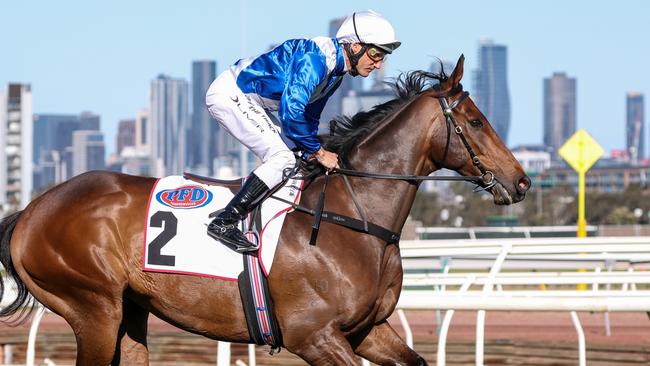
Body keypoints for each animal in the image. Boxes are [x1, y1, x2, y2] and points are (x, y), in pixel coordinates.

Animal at [0, 55, 528, 366]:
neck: (352, 218)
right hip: (93, 308)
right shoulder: (314, 336)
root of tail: (31, 210)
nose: (520, 180)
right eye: (476, 122)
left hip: (129, 312)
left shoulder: (366, 331)